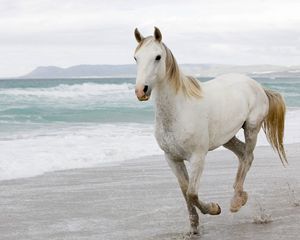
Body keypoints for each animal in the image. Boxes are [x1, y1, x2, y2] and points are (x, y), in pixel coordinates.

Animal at [133, 26, 286, 234]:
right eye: (136, 58)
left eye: (157, 57)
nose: (141, 90)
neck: (179, 110)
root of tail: (257, 85)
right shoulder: (172, 159)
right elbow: (185, 191)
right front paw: (194, 228)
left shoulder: (198, 157)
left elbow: (192, 193)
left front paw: (214, 209)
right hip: (227, 137)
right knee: (242, 154)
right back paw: (239, 197)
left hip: (252, 128)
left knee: (247, 157)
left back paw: (236, 202)